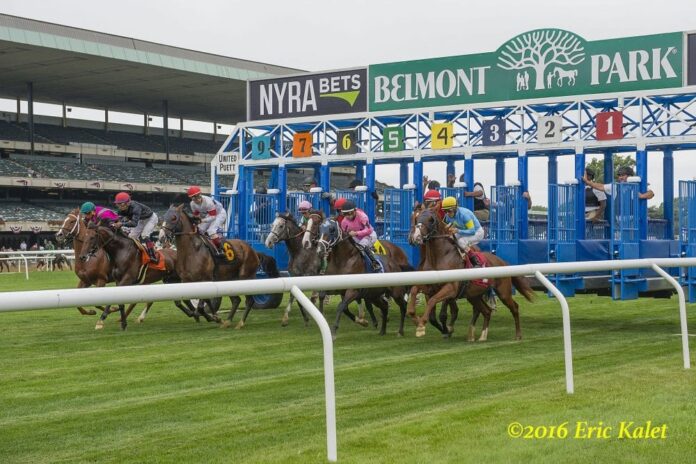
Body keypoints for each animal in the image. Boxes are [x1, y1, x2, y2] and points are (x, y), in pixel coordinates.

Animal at [408, 208, 532, 338]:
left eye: (431, 220)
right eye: (416, 218)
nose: (415, 237)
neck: (439, 257)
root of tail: (503, 262)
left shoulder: (451, 288)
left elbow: (434, 302)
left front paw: (422, 325)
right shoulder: (431, 286)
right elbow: (414, 290)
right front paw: (415, 318)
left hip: (503, 292)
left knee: (514, 307)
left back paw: (518, 335)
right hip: (474, 295)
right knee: (486, 311)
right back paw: (482, 336)